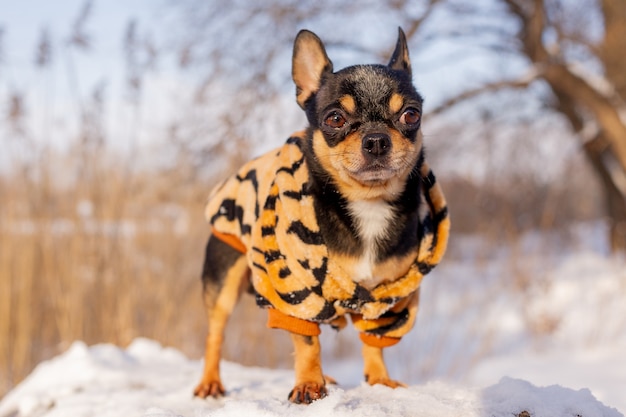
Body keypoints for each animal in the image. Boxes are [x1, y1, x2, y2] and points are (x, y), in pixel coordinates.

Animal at [193, 28, 446, 404]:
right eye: (335, 119)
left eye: (411, 115)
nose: (376, 139)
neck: (368, 203)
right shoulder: (293, 287)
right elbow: (307, 340)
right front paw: (310, 384)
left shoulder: (389, 298)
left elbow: (374, 341)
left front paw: (379, 380)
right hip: (223, 281)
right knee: (215, 334)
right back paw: (210, 382)